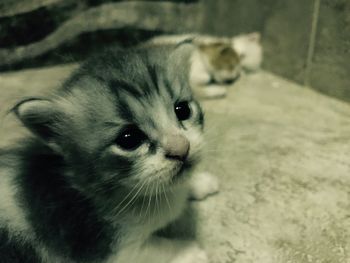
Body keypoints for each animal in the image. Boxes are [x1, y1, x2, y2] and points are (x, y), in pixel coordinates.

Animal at [0, 42, 217, 262]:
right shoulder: (108, 251)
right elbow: (158, 248)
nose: (182, 149)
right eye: (129, 139)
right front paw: (189, 251)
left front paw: (198, 182)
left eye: (183, 110)